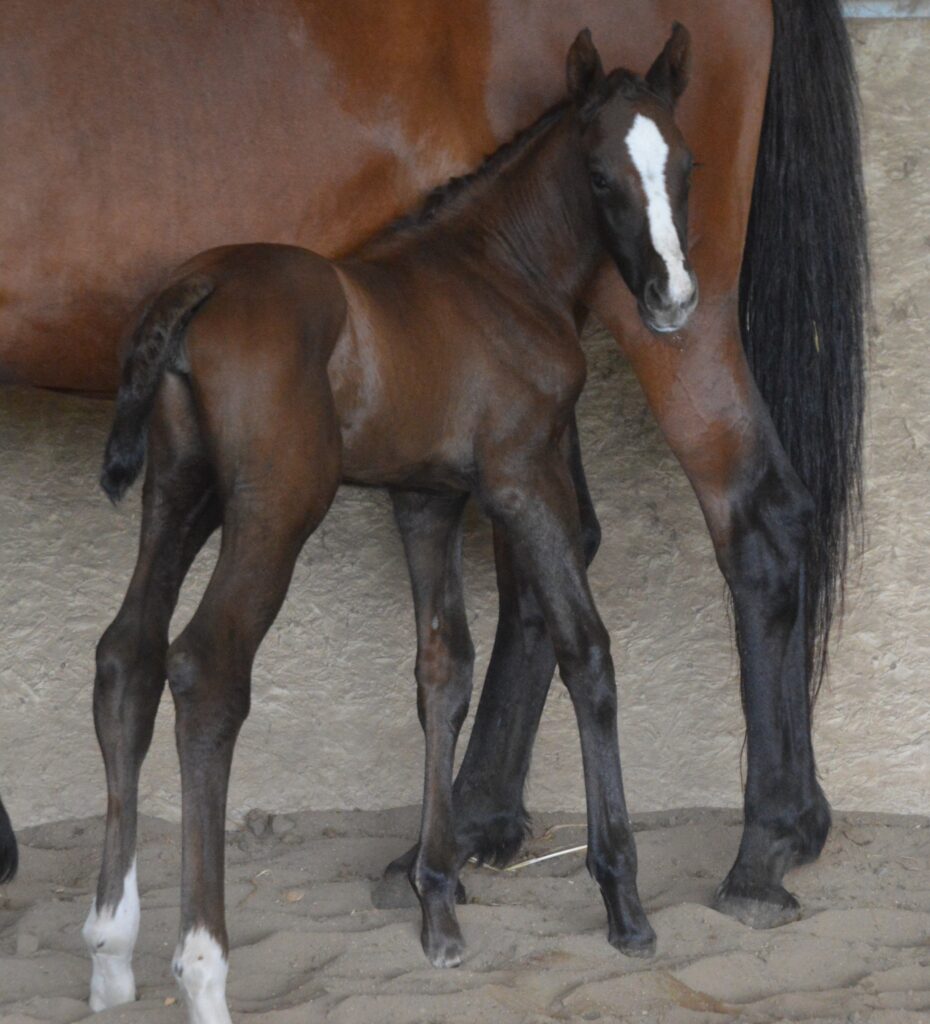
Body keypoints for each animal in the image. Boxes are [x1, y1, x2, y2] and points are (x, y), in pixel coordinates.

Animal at [85, 28, 696, 1019]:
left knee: (126, 656)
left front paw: (438, 909)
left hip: (179, 496)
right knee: (206, 671)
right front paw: (624, 902)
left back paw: (108, 952)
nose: (673, 298)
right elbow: (587, 653)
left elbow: (443, 670)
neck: (500, 272)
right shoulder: (523, 480)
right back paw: (203, 969)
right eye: (602, 175)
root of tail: (203, 282)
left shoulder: (427, 499)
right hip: (277, 507)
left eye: (686, 166)